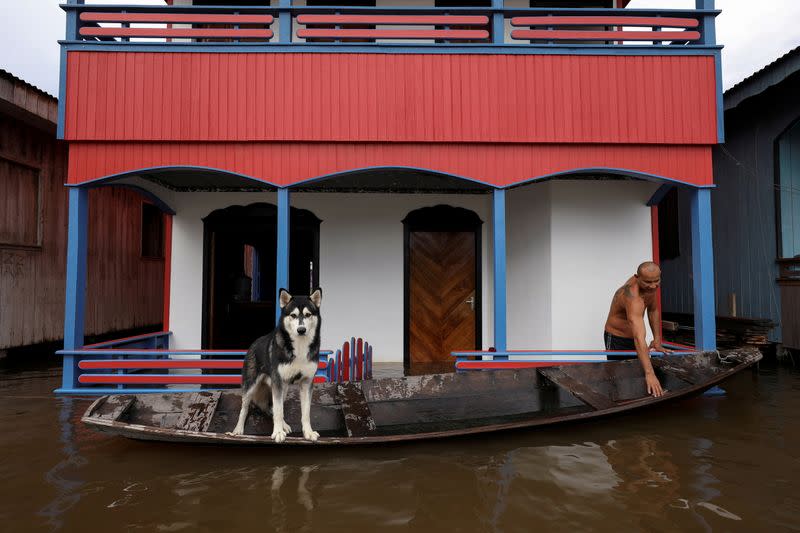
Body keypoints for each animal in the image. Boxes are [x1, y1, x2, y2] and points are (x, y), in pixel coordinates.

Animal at [225, 286, 322, 440]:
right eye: (293, 315)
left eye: (307, 315)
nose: (301, 330)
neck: (299, 346)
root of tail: (253, 344)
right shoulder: (278, 381)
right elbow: (278, 410)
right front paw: (277, 432)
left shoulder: (307, 382)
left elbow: (305, 413)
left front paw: (308, 432)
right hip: (251, 386)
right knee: (245, 408)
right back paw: (238, 430)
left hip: (284, 387)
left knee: (273, 407)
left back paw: (284, 425)